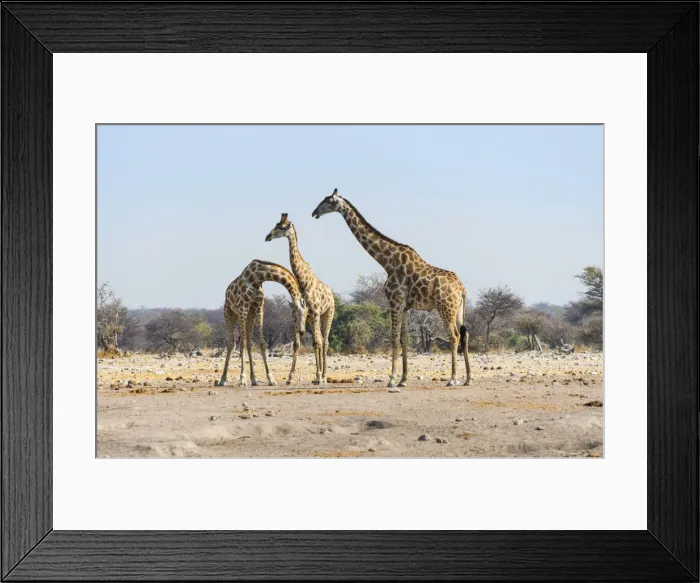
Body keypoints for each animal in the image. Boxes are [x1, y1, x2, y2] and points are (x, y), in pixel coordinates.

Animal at [218, 259, 308, 387]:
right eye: (296, 312)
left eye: (307, 313)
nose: (301, 331)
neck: (257, 278)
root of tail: (227, 290)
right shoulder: (242, 308)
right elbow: (242, 345)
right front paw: (242, 379)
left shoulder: (258, 307)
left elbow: (261, 344)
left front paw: (271, 379)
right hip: (230, 312)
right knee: (231, 343)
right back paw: (222, 379)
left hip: (249, 315)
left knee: (249, 343)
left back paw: (254, 379)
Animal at [265, 213, 335, 384]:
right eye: (276, 224)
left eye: (282, 227)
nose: (268, 236)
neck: (303, 282)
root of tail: (331, 294)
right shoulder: (297, 313)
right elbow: (297, 344)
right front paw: (290, 378)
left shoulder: (315, 312)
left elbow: (316, 342)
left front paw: (319, 376)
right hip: (311, 318)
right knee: (319, 340)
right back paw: (318, 376)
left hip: (327, 314)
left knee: (324, 341)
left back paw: (323, 376)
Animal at [311, 188, 472, 388]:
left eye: (329, 201)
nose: (314, 213)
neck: (386, 262)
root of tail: (462, 288)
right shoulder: (404, 307)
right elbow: (403, 339)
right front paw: (403, 379)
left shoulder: (394, 301)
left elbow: (394, 338)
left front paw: (392, 379)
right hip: (458, 310)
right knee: (465, 334)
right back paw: (467, 378)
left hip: (445, 308)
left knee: (454, 336)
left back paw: (452, 379)